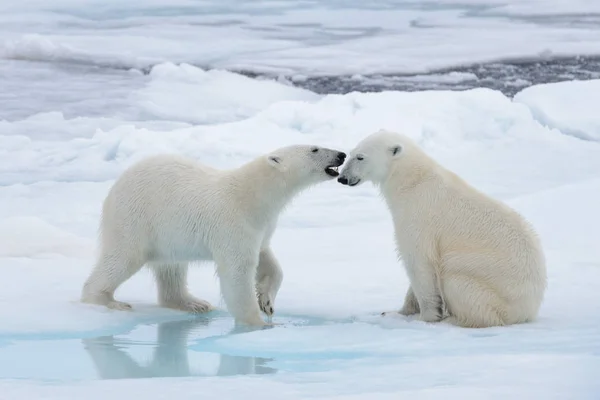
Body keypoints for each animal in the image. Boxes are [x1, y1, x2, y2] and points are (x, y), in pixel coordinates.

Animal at [82, 145, 350, 326]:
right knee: (122, 258)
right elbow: (237, 273)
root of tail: (115, 187)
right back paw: (107, 300)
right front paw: (256, 322)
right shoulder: (233, 222)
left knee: (172, 268)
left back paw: (193, 303)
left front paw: (267, 302)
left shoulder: (261, 226)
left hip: (168, 235)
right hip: (136, 219)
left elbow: (269, 261)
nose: (341, 154)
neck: (252, 195)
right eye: (315, 149)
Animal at [338, 130, 548, 326]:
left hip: (490, 285)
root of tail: (529, 309)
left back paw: (454, 319)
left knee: (457, 280)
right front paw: (396, 312)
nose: (342, 178)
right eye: (351, 153)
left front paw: (425, 317)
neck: (411, 179)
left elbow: (419, 262)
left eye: (360, 157)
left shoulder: (418, 216)